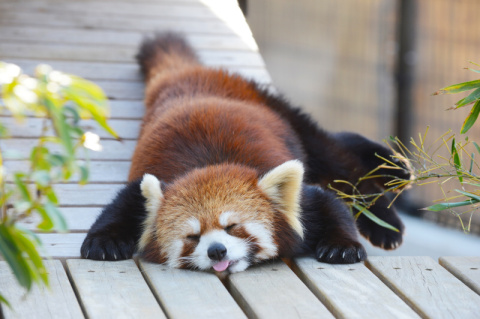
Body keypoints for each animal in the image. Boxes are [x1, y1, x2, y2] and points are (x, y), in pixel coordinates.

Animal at [80, 31, 410, 272]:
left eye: (233, 227)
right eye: (192, 237)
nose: (216, 251)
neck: (216, 164)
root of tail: (185, 74)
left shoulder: (297, 200)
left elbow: (329, 203)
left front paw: (342, 245)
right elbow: (125, 201)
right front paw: (104, 241)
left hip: (270, 105)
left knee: (338, 161)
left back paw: (389, 209)